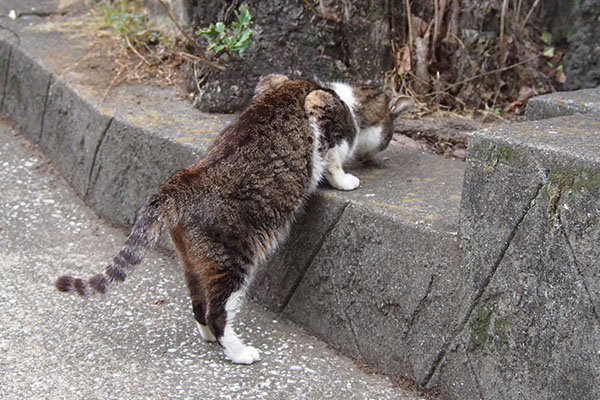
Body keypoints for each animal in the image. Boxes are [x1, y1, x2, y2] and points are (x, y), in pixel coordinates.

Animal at [56, 73, 412, 364]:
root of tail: (183, 180)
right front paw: (345, 179)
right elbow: (333, 157)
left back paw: (210, 338)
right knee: (217, 311)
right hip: (233, 261)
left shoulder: (270, 81)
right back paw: (239, 352)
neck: (346, 98)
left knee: (198, 305)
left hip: (196, 262)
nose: (376, 156)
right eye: (389, 137)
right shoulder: (320, 108)